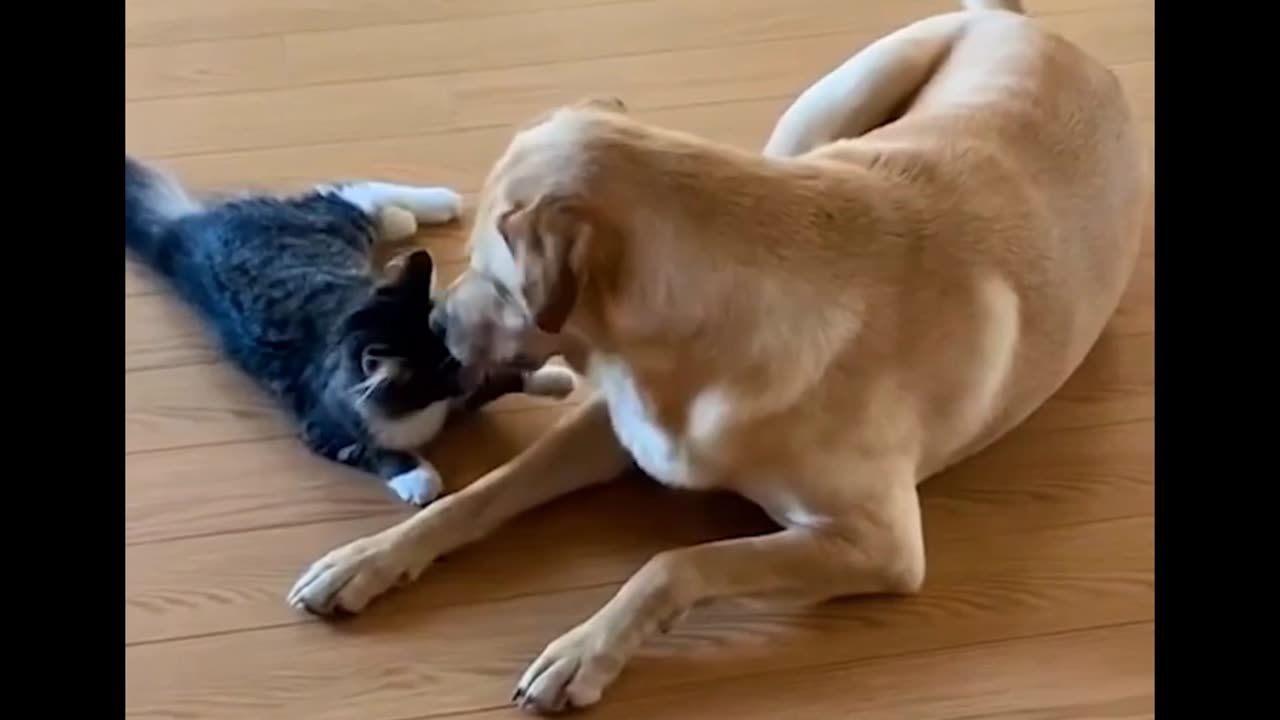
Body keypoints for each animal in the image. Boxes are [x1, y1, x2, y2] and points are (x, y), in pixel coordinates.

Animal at [290, 0, 1152, 707]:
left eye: (493, 277)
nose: (434, 324)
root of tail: (1033, 25)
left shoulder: (879, 545)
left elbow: (680, 563)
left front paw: (584, 653)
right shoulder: (617, 427)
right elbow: (480, 495)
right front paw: (369, 558)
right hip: (834, 105)